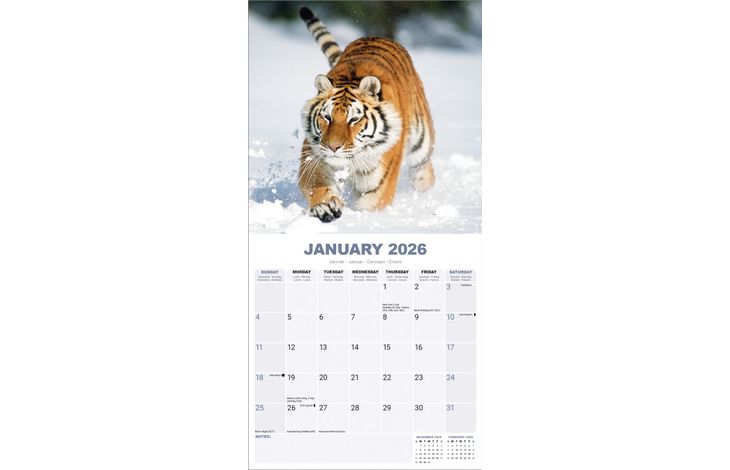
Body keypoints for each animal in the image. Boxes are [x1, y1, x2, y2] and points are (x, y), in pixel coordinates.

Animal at [298, 6, 435, 223]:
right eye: (327, 117)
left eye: (354, 119)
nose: (333, 147)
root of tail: (378, 36)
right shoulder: (313, 157)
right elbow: (318, 186)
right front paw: (324, 206)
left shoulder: (378, 184)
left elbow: (370, 206)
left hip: (421, 143)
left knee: (424, 169)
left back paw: (424, 191)